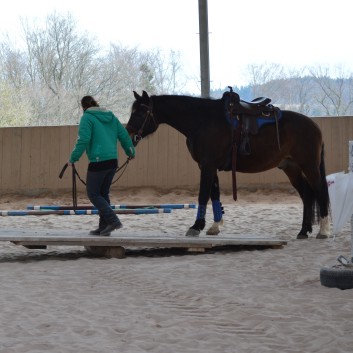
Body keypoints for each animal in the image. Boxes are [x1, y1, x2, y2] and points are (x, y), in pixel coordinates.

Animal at [126, 90, 330, 239]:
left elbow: (202, 195)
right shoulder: (208, 166)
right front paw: (215, 226)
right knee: (306, 195)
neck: (201, 120)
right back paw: (303, 231)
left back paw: (323, 231)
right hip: (291, 168)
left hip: (309, 166)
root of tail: (315, 127)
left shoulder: (208, 166)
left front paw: (196, 227)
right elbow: (214, 194)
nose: (129, 132)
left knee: (319, 191)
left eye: (141, 112)